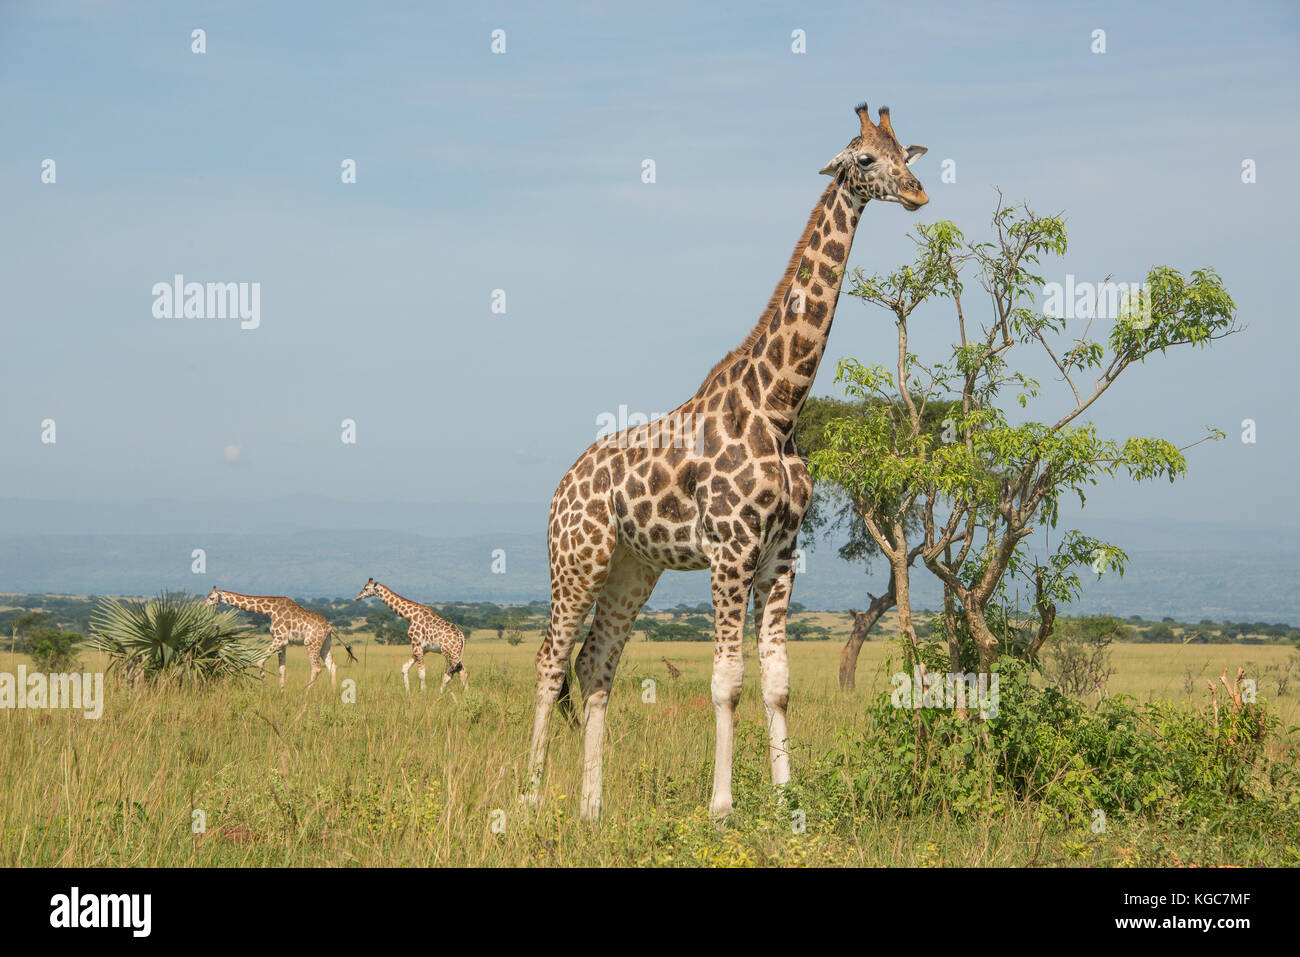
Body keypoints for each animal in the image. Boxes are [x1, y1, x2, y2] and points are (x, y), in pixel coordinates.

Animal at [205, 587, 356, 687]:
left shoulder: (279, 638)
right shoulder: (283, 643)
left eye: (211, 598)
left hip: (311, 643)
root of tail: (329, 627)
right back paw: (334, 693)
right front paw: (282, 691)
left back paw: (306, 693)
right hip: (325, 644)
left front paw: (264, 685)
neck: (269, 610)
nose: (204, 606)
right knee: (332, 666)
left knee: (317, 668)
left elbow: (260, 661)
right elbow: (282, 669)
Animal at [524, 102, 928, 821]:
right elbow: (726, 681)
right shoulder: (731, 552)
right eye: (864, 159)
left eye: (903, 153)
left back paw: (591, 807)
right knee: (548, 662)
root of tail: (562, 485)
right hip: (577, 559)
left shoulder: (781, 556)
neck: (779, 406)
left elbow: (777, 681)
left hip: (633, 568)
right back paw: (530, 797)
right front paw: (721, 806)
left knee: (596, 663)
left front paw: (788, 800)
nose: (917, 194)